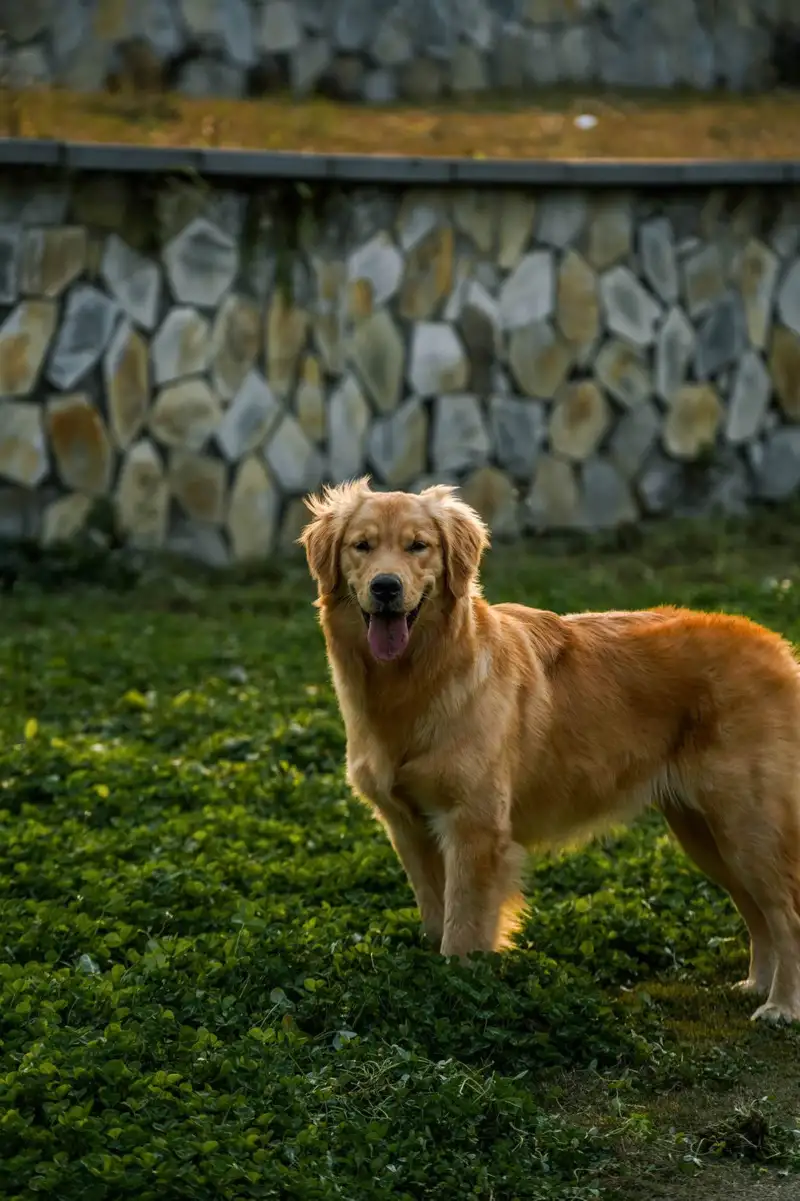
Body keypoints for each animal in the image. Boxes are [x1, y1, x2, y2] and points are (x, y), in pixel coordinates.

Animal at [299, 477, 797, 1023]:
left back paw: (781, 1006)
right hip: (706, 834)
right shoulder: (407, 828)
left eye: (418, 546)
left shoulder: (474, 828)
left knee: (785, 915)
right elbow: (435, 916)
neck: (417, 680)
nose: (385, 587)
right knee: (758, 913)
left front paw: (457, 989)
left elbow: (462, 929)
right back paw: (755, 986)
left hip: (749, 827)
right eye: (362, 546)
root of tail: (777, 647)